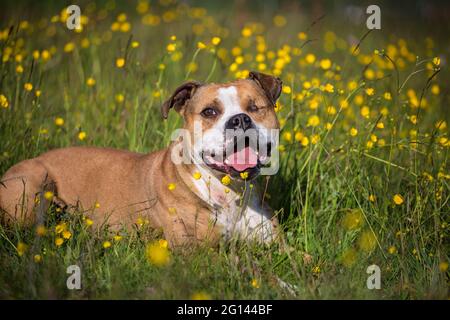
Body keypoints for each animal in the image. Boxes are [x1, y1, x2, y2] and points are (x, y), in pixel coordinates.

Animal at [0, 72, 282, 248]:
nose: (240, 120)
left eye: (255, 107)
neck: (229, 193)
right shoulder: (196, 253)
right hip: (35, 185)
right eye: (210, 112)